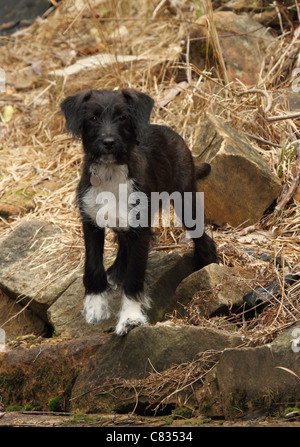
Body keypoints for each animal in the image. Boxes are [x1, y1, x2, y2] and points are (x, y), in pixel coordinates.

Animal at [59, 88, 217, 336]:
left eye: (123, 117)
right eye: (93, 118)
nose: (108, 142)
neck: (111, 173)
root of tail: (172, 132)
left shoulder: (140, 229)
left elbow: (134, 276)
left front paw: (130, 317)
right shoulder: (91, 221)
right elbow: (93, 265)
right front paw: (95, 306)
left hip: (185, 200)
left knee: (203, 237)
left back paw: (206, 264)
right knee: (124, 243)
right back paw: (115, 273)